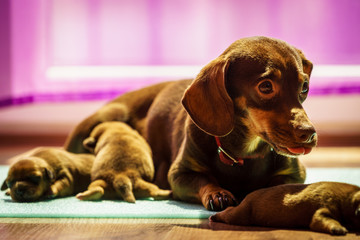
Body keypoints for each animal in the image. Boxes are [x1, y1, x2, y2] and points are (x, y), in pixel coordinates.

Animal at [64, 36, 318, 211]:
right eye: (265, 86)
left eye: (304, 86)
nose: (310, 134)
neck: (242, 153)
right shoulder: (179, 175)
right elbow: (204, 180)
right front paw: (218, 193)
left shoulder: (296, 174)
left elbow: (276, 184)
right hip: (104, 117)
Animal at [210, 182, 360, 234]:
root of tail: (247, 196)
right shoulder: (323, 209)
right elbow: (323, 219)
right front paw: (338, 229)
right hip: (240, 215)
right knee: (227, 213)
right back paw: (213, 216)